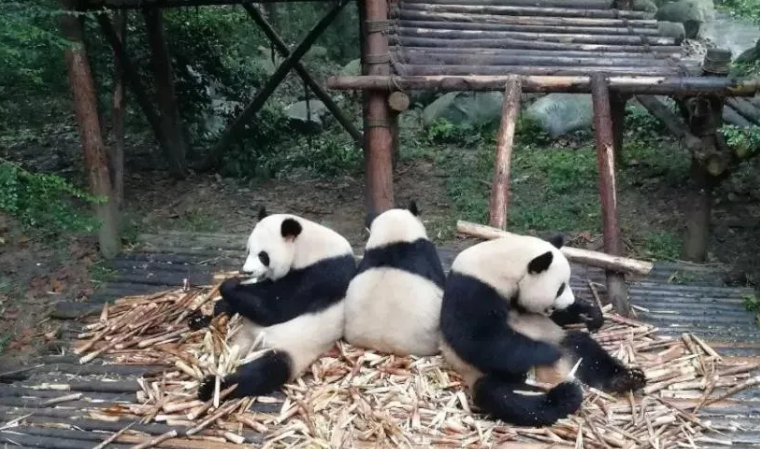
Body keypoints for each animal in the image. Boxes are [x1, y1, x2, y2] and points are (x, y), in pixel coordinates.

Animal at [188, 207, 356, 402]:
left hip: (291, 347)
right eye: (248, 251)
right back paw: (199, 321)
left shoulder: (323, 274)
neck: (310, 246)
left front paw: (230, 284)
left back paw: (211, 387)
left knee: (265, 372)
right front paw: (222, 302)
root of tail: (246, 342)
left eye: (263, 256)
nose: (247, 271)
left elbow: (275, 309)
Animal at [439, 232, 647, 427]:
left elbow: (557, 318)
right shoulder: (472, 288)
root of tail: (554, 376)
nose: (570, 301)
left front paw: (591, 314)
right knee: (507, 398)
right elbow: (476, 338)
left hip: (566, 343)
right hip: (488, 375)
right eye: (560, 288)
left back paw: (626, 379)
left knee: (586, 349)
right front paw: (547, 352)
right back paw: (565, 396)